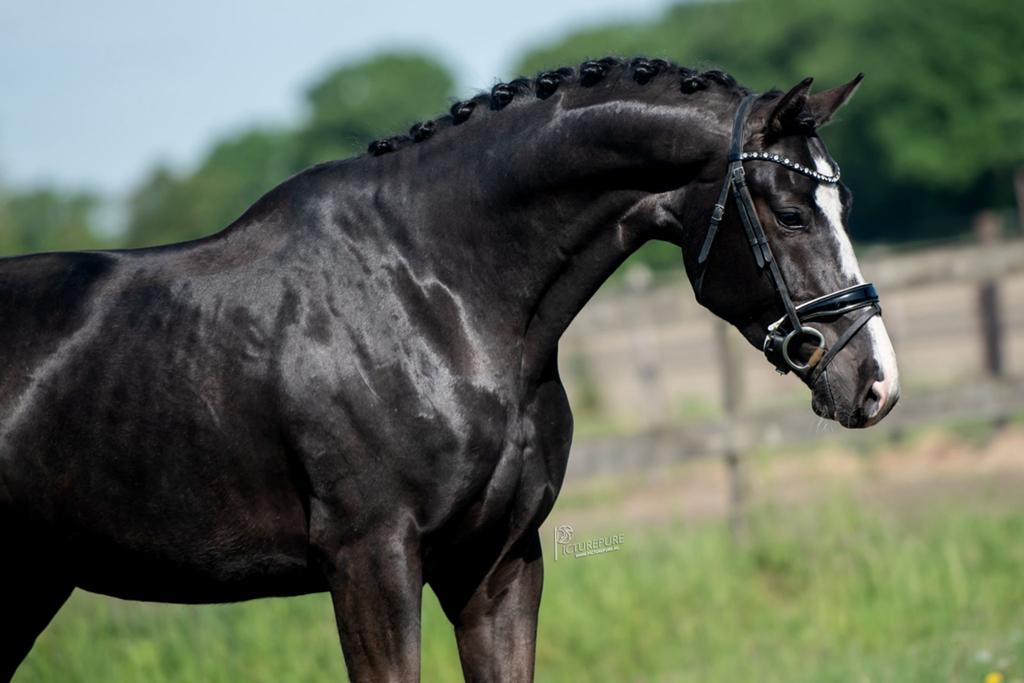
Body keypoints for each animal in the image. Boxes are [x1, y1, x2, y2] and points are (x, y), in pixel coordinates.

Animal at [0, 57, 899, 682]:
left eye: (847, 205)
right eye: (790, 211)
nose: (876, 381)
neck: (436, 294)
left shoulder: (498, 562)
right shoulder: (370, 565)